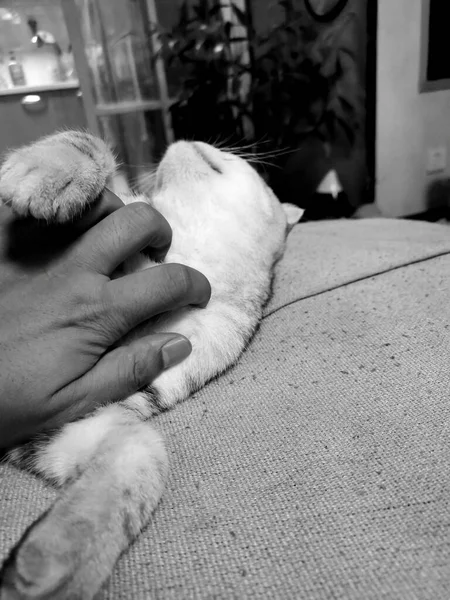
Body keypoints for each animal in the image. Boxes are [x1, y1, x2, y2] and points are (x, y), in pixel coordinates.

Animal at [0, 132, 302, 600]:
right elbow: (89, 143)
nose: (186, 136)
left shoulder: (60, 415)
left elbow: (142, 452)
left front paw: (57, 561)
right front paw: (45, 175)